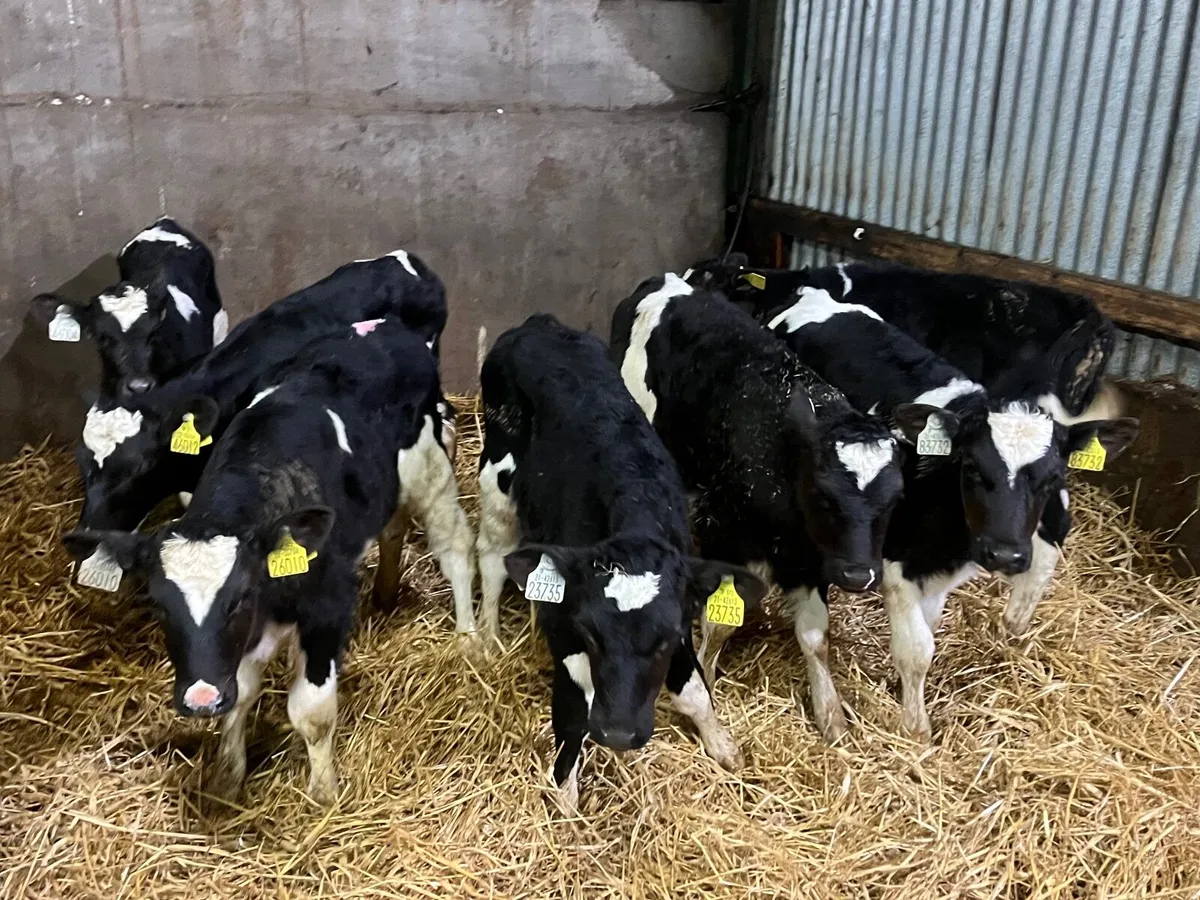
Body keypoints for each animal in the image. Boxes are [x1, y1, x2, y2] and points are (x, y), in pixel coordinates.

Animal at [62, 319, 472, 805]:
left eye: (239, 599)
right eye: (159, 605)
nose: (200, 700)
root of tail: (385, 327)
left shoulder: (328, 607)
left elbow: (311, 712)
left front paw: (324, 794)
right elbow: (240, 695)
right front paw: (227, 778)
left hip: (431, 467)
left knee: (455, 547)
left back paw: (472, 639)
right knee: (392, 530)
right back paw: (387, 595)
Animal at [474, 314, 766, 808]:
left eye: (664, 638)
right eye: (592, 631)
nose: (618, 734)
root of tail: (538, 323)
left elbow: (694, 692)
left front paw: (722, 745)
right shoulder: (565, 625)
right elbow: (574, 713)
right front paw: (566, 798)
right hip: (497, 477)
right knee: (493, 556)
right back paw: (489, 632)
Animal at [609, 274, 910, 743]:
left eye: (894, 498)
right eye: (823, 493)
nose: (859, 575)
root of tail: (668, 281)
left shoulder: (810, 560)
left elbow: (815, 635)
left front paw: (830, 713)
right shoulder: (723, 534)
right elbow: (721, 623)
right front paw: (707, 681)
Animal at [764, 286, 1139, 737]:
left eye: (1053, 477)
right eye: (972, 467)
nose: (1005, 554)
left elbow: (928, 630)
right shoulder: (894, 565)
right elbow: (917, 648)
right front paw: (916, 727)